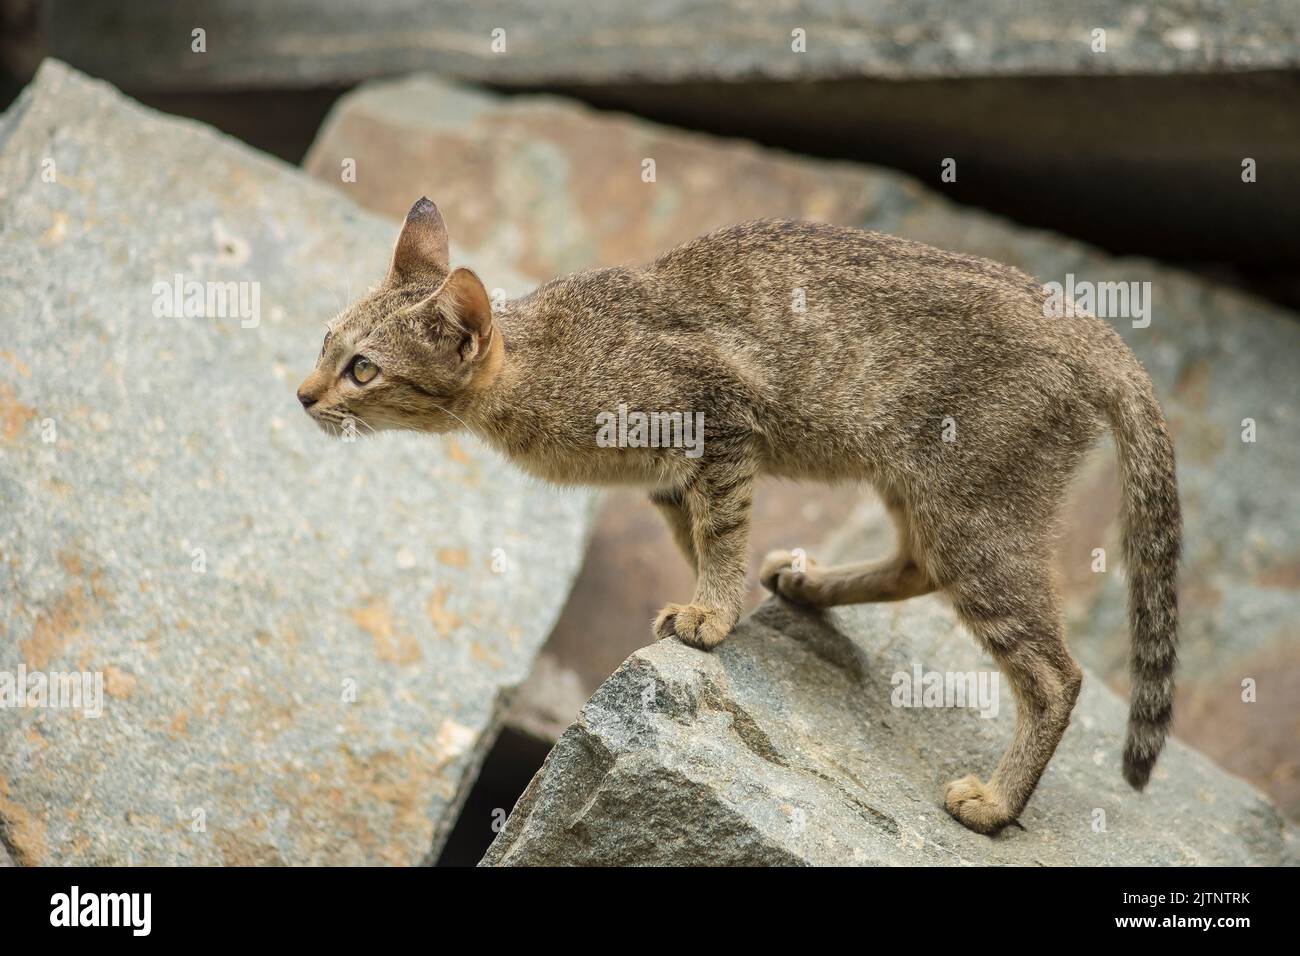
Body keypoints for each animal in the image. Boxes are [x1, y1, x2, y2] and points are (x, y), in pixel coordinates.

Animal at [299, 197, 1185, 832]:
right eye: (323, 341)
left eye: (363, 369)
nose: (303, 394)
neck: (548, 363)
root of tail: (1092, 327)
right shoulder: (666, 481)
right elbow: (695, 538)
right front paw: (715, 603)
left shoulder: (718, 424)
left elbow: (720, 532)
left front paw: (711, 615)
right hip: (923, 488)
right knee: (913, 566)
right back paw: (810, 585)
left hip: (975, 511)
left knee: (1055, 673)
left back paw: (998, 805)